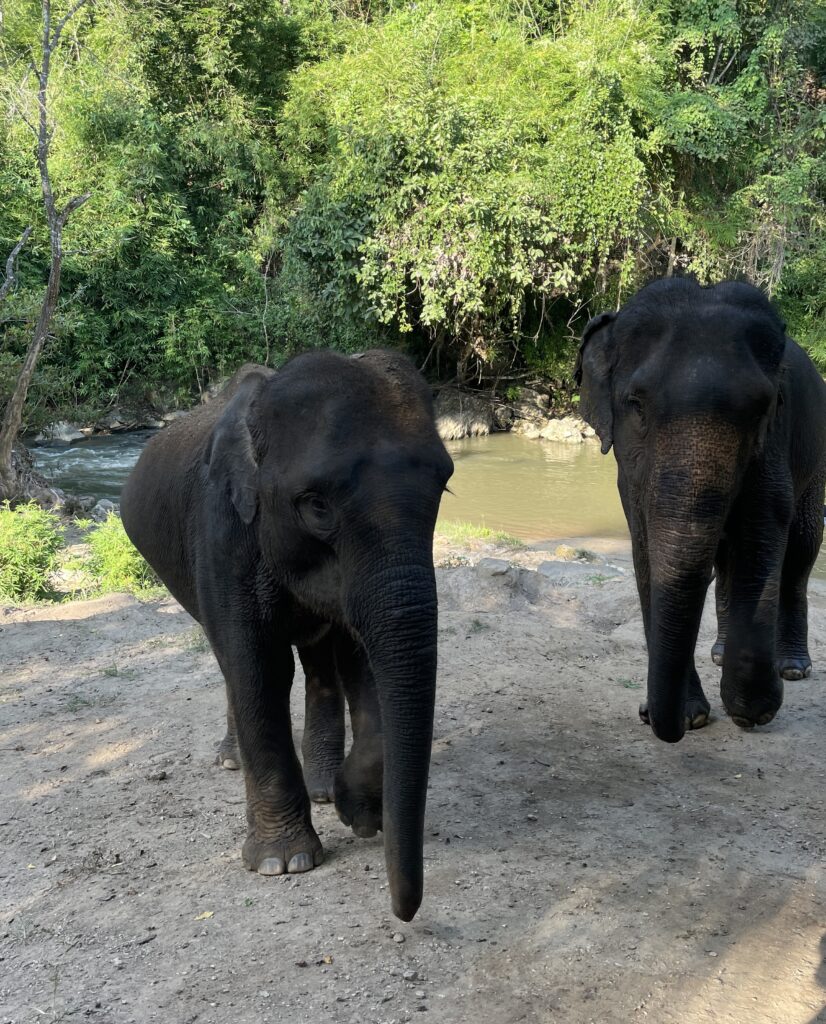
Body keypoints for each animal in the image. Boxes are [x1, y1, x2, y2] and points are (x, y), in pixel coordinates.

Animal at [119, 350, 452, 921]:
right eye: (316, 505)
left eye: (445, 486)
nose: (405, 912)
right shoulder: (221, 534)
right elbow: (257, 668)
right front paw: (285, 862)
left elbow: (361, 658)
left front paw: (358, 811)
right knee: (231, 663)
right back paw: (233, 760)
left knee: (319, 663)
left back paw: (320, 786)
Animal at [573, 278, 826, 745]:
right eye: (637, 404)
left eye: (762, 409)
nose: (655, 718)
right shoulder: (629, 471)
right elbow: (644, 546)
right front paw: (691, 716)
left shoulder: (774, 448)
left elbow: (763, 534)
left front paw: (754, 711)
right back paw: (720, 653)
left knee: (800, 549)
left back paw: (794, 668)